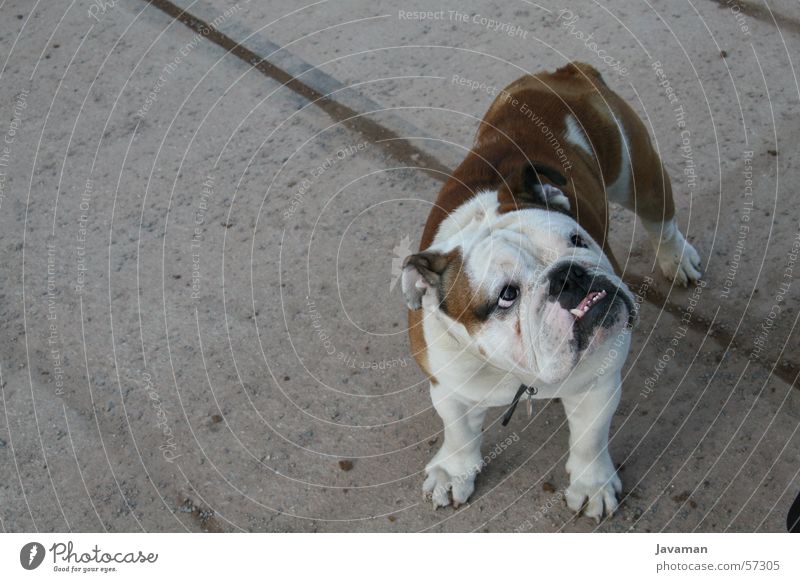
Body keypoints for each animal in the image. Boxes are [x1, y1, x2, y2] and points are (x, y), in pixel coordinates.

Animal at [404, 61, 696, 524]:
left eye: (578, 240)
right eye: (506, 295)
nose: (568, 276)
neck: (520, 372)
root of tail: (563, 72)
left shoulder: (596, 381)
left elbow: (590, 440)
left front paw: (591, 485)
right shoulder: (449, 386)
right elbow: (459, 432)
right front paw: (454, 471)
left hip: (639, 174)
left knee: (661, 221)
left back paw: (677, 259)